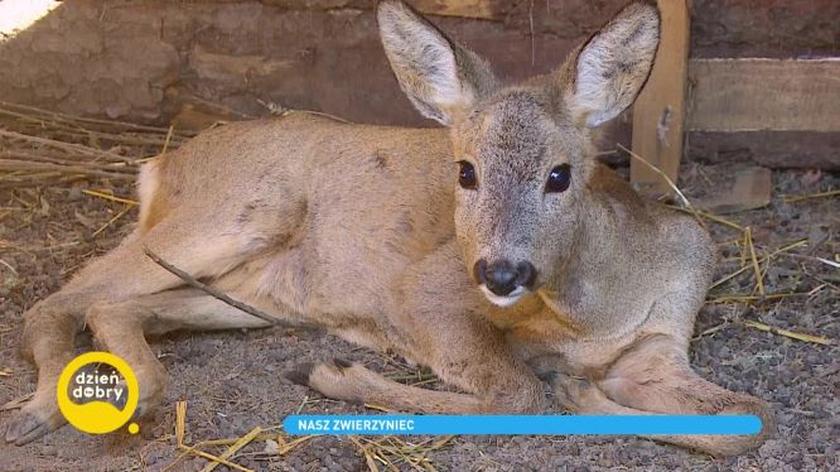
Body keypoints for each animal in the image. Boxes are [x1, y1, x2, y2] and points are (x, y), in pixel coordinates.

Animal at [3, 0, 772, 458]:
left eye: (561, 174)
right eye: (464, 171)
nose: (501, 273)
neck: (595, 316)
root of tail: (161, 163)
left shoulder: (661, 345)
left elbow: (743, 420)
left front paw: (581, 390)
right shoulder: (429, 288)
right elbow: (515, 394)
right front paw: (333, 373)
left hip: (252, 292)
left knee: (115, 306)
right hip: (230, 213)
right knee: (58, 299)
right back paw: (38, 412)